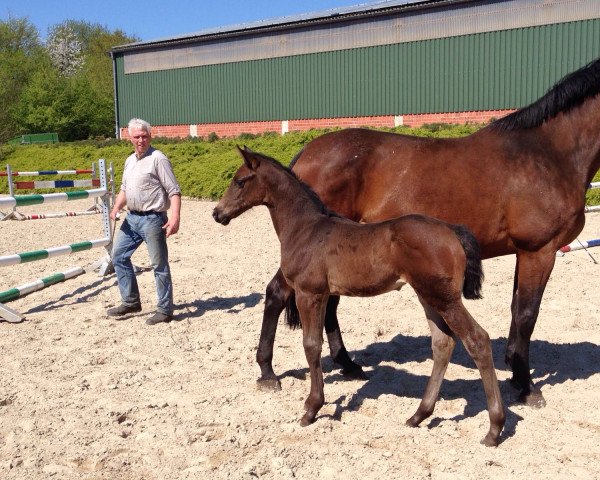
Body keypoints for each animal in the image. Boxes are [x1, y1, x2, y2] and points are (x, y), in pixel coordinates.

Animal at [213, 147, 504, 446]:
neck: (306, 228)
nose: (217, 213)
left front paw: (312, 408)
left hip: (445, 298)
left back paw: (494, 429)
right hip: (427, 296)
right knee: (443, 344)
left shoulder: (309, 293)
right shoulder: (323, 295)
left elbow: (311, 345)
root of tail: (452, 231)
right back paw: (418, 415)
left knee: (477, 340)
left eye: (239, 181)